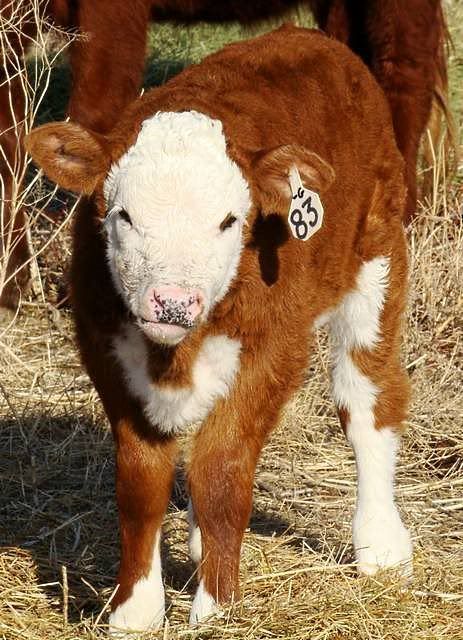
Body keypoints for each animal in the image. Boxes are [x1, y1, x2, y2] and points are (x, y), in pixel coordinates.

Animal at [25, 25, 412, 635]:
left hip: (377, 256)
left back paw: (381, 545)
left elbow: (223, 471)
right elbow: (141, 481)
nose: (173, 302)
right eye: (123, 215)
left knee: (367, 398)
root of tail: (309, 37)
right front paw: (135, 611)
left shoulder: (272, 348)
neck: (174, 354)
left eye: (230, 221)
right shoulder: (104, 347)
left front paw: (216, 609)